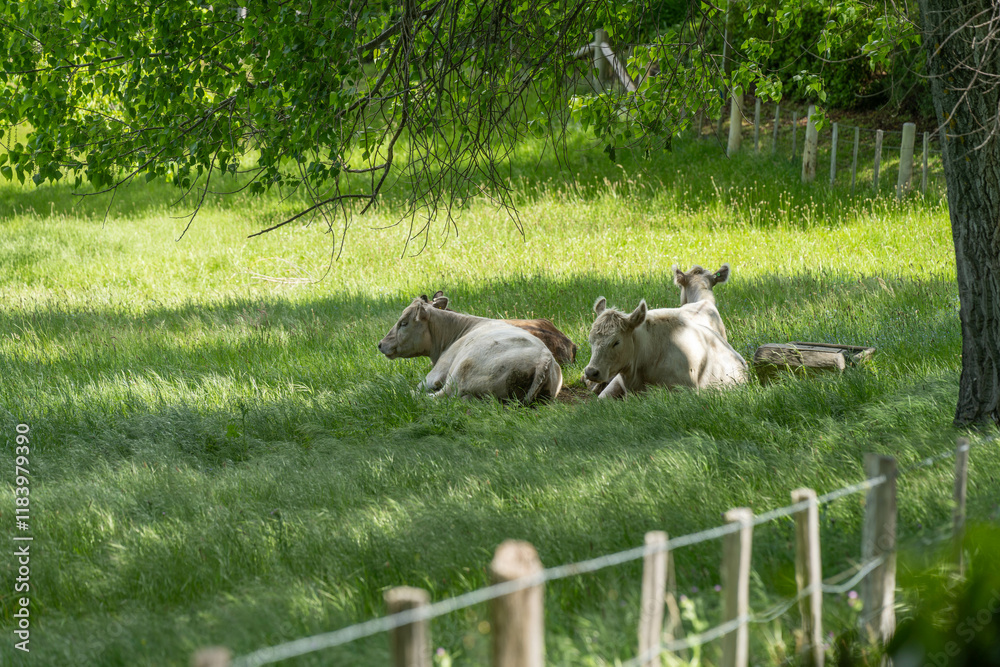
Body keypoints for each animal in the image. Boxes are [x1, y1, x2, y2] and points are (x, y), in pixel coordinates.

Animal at [378, 294, 562, 403]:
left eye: (403, 323)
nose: (380, 344)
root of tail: (544, 358)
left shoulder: (437, 372)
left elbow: (418, 386)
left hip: (459, 373)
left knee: (437, 397)